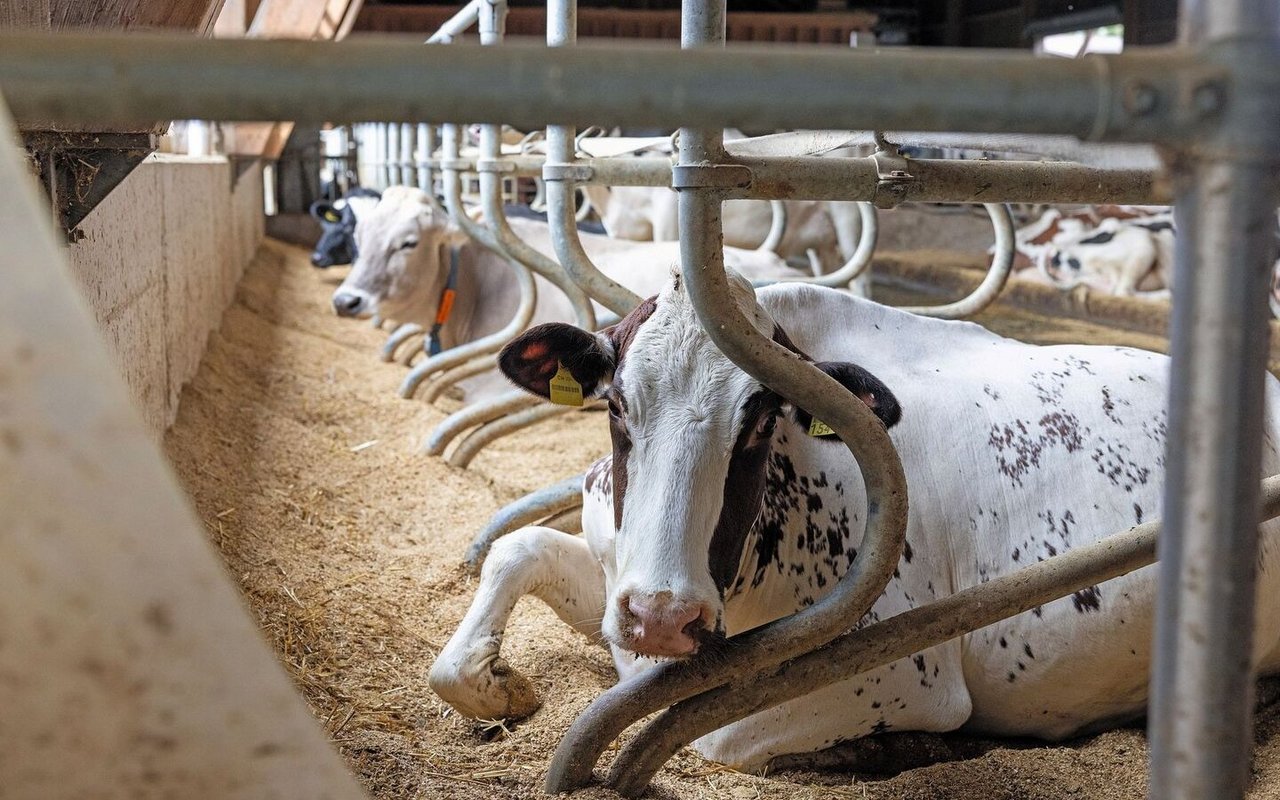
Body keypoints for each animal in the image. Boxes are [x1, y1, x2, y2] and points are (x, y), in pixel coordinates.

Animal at [430, 271, 1280, 773]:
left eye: (760, 419)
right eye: (615, 405)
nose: (663, 617)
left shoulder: (894, 675)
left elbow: (707, 733)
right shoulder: (612, 578)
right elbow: (516, 550)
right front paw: (500, 684)